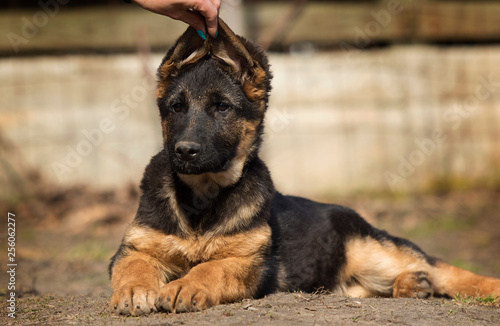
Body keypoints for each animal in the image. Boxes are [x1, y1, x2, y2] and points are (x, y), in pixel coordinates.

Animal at [109, 19, 500, 314]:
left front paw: (185, 285)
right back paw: (413, 286)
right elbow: (133, 266)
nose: (185, 151)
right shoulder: (135, 248)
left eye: (222, 108)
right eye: (176, 107)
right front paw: (133, 290)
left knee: (440, 268)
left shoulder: (247, 261)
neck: (203, 196)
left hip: (373, 250)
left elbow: (211, 267)